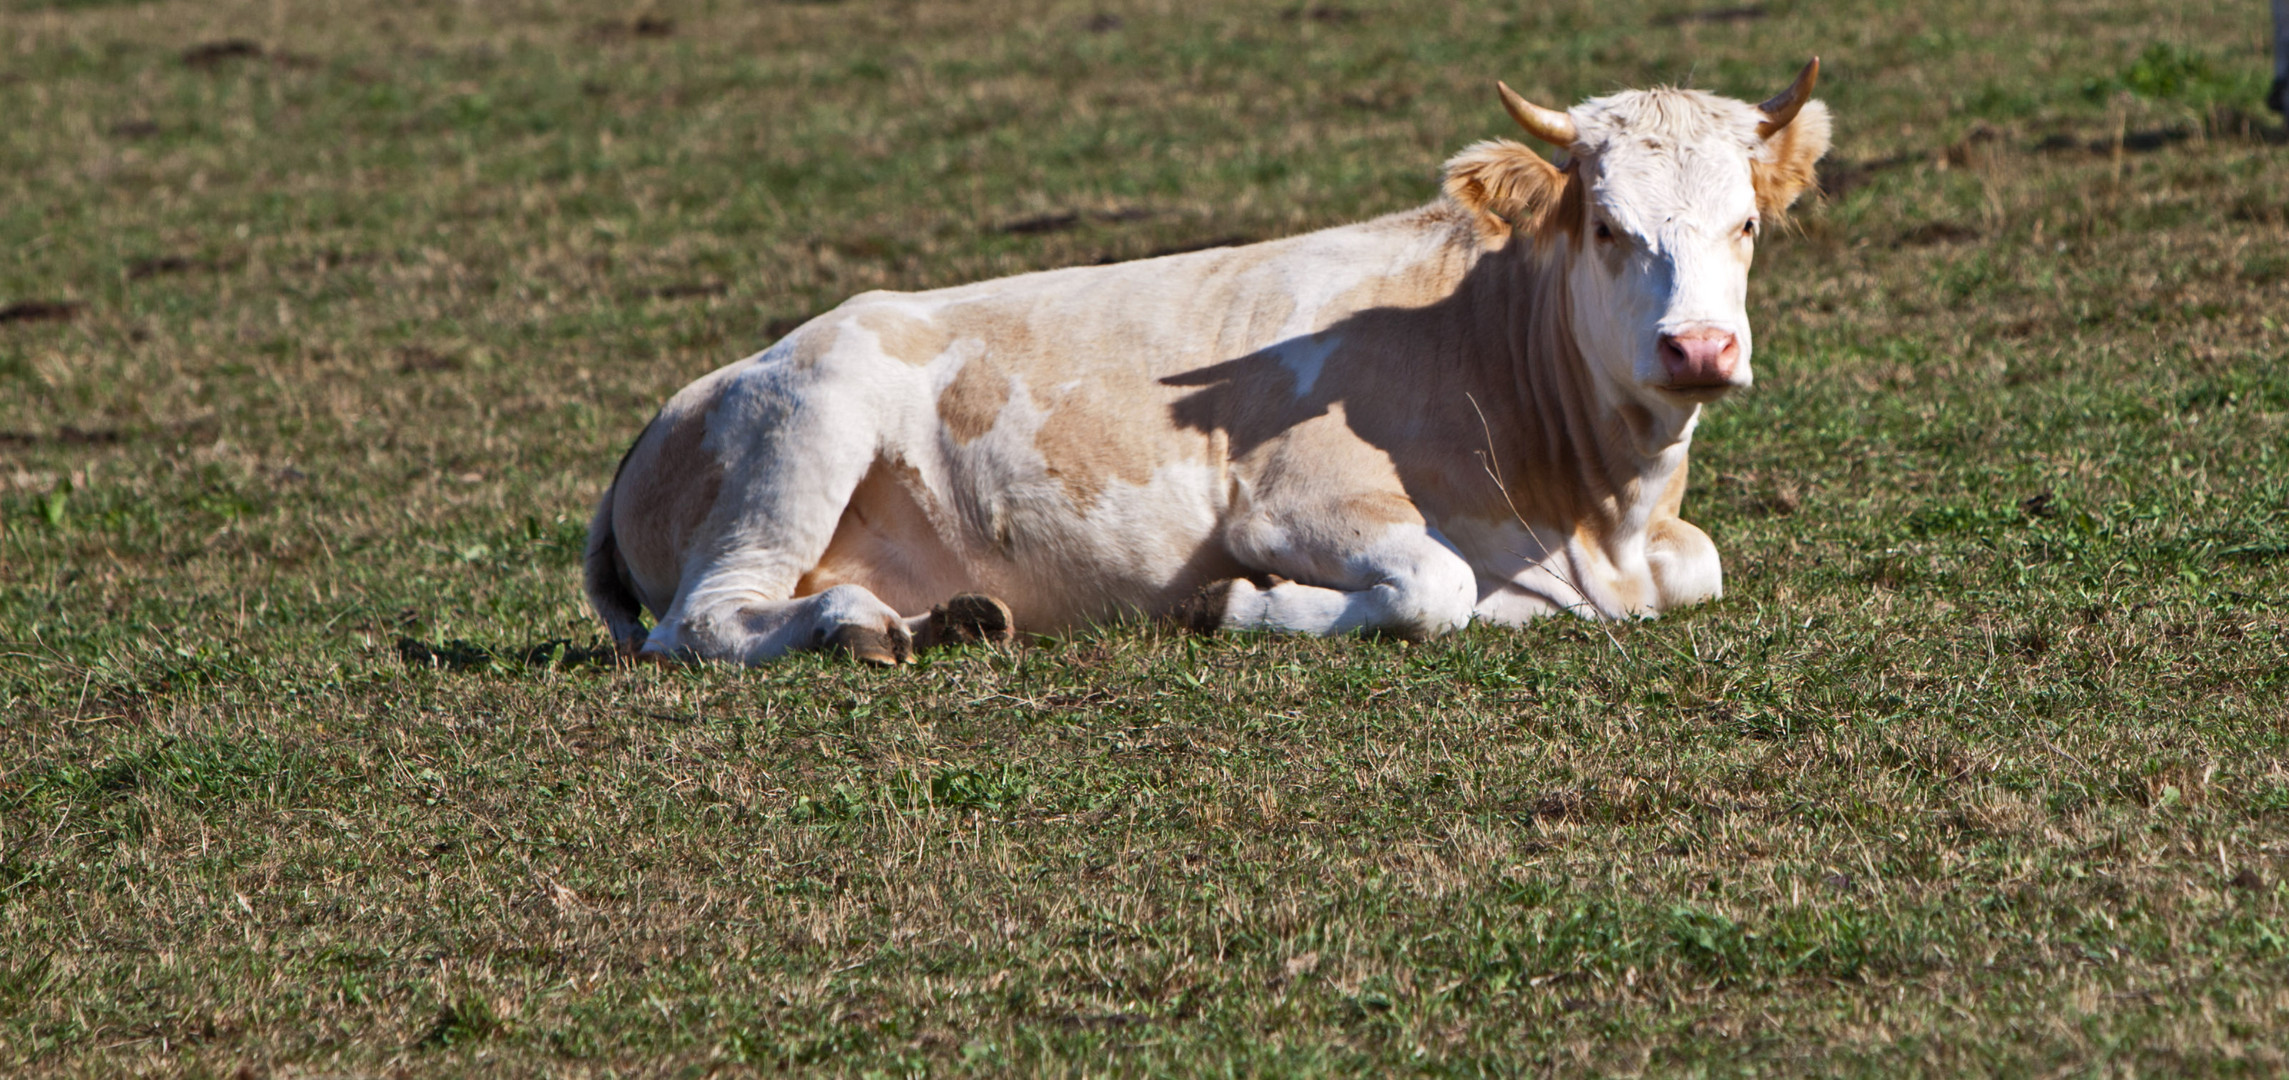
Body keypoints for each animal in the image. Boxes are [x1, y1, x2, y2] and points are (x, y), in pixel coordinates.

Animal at [581, 65, 1831, 668]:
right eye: (1609, 227)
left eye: (1747, 227)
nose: (1699, 348)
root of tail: (678, 405)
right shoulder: (1289, 501)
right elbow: (1436, 587)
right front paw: (1240, 604)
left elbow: (1699, 565)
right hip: (799, 437)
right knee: (701, 623)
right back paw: (852, 629)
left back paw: (942, 621)